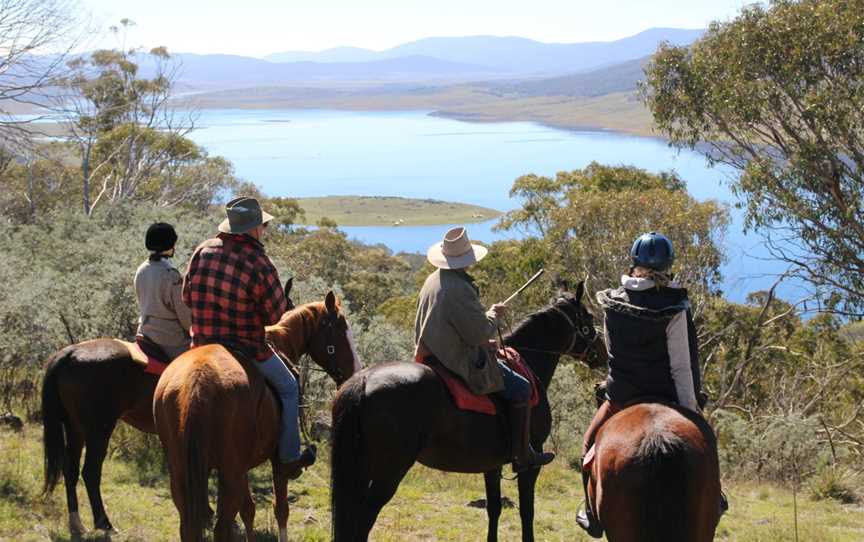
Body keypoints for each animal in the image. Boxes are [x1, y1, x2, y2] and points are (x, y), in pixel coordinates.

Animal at [330, 284, 608, 542]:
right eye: (588, 320)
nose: (604, 353)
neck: (527, 359)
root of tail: (362, 381)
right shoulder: (531, 462)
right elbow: (527, 511)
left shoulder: (492, 464)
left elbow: (494, 508)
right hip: (388, 470)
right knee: (363, 520)